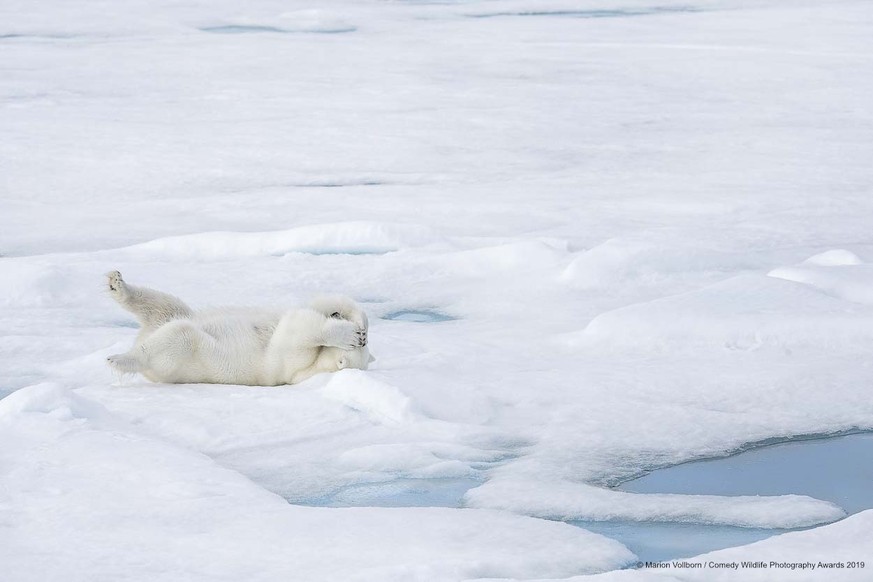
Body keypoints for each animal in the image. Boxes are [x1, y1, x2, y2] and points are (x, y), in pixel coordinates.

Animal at [104, 270, 372, 388]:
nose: (361, 338)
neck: (317, 366)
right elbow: (316, 306)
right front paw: (357, 323)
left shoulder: (292, 365)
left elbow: (298, 328)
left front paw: (348, 334)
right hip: (172, 314)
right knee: (165, 305)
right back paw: (117, 284)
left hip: (180, 358)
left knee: (177, 335)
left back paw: (119, 358)